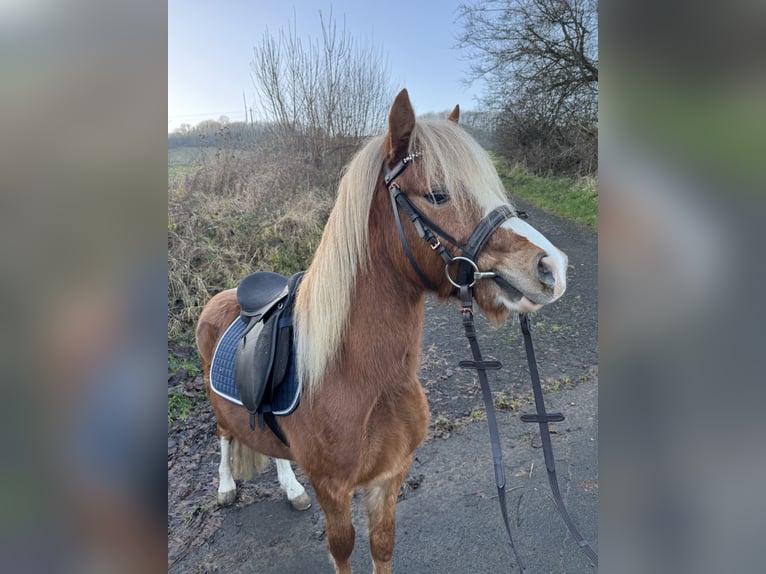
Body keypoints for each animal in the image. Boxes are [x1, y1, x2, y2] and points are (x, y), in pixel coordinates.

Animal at [196, 89, 568, 572]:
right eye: (437, 194)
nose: (552, 267)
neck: (360, 377)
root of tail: (223, 295)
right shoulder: (334, 490)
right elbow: (344, 550)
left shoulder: (390, 477)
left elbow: (383, 545)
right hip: (219, 407)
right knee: (224, 437)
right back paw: (225, 487)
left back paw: (291, 488)